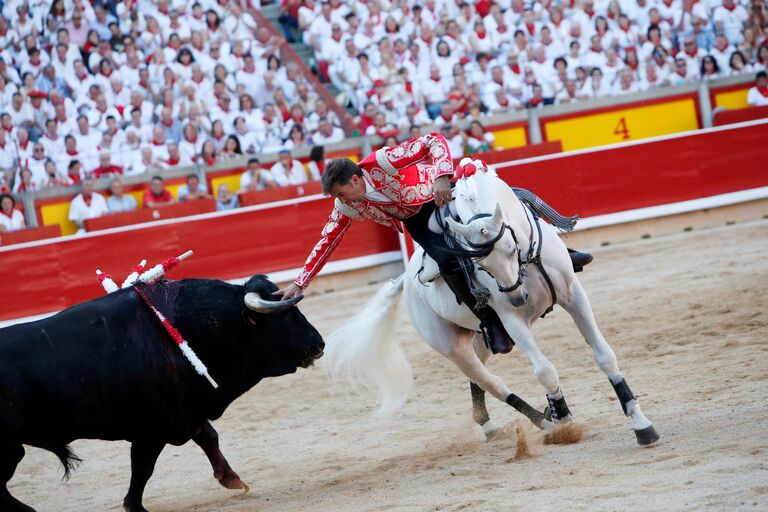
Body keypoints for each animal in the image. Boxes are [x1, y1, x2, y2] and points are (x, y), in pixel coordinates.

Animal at [0, 276, 324, 512]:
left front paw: (232, 479)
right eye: (284, 318)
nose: (319, 343)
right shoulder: (152, 429)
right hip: (10, 449)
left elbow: (208, 436)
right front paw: (134, 507)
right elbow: (143, 467)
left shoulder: (186, 410)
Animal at [324, 167, 660, 444]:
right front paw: (564, 420)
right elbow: (544, 370)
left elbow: (605, 356)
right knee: (490, 381)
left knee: (480, 378)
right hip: (452, 347)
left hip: (482, 335)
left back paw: (491, 424)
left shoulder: (574, 295)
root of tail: (404, 280)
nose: (518, 298)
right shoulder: (512, 320)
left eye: (511, 247)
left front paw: (641, 424)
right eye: (478, 263)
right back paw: (541, 421)